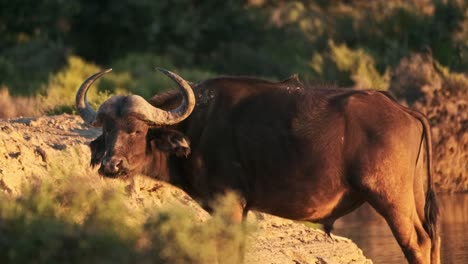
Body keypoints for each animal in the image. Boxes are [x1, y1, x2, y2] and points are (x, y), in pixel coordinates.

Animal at [76, 68, 438, 264]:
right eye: (107, 129)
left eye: (137, 130)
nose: (112, 166)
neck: (197, 127)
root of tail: (405, 110)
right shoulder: (241, 209)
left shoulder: (230, 205)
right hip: (414, 199)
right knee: (431, 240)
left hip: (391, 198)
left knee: (417, 242)